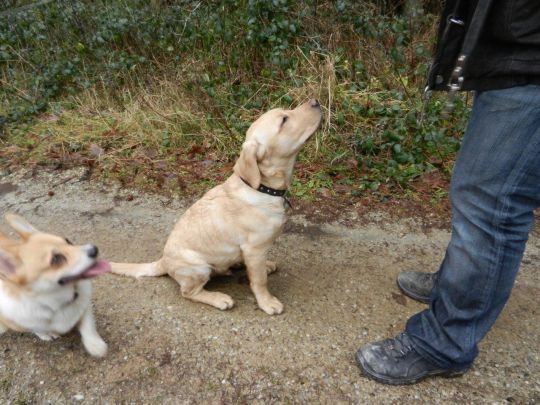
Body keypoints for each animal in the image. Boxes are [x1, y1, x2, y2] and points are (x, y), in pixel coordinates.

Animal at [0, 214, 110, 357]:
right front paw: (47, 335)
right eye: (56, 259)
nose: (94, 249)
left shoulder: (85, 306)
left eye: (68, 241)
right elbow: (38, 330)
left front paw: (95, 345)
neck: (58, 302)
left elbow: (88, 326)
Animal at [111, 99, 322, 314]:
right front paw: (267, 302)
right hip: (199, 267)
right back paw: (218, 298)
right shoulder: (254, 250)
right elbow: (259, 280)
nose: (315, 101)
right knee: (188, 292)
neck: (262, 189)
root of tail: (163, 261)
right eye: (284, 120)